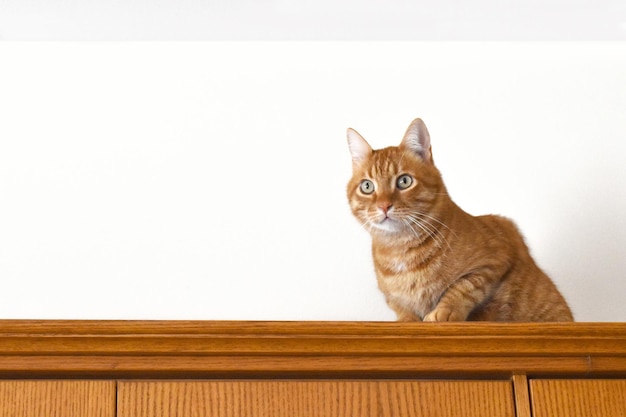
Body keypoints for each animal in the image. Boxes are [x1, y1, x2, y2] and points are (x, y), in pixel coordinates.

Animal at [346, 118, 572, 322]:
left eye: (404, 181)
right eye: (367, 186)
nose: (384, 206)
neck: (399, 249)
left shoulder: (495, 257)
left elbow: (463, 287)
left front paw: (443, 312)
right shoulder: (392, 299)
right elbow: (403, 309)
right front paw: (406, 320)